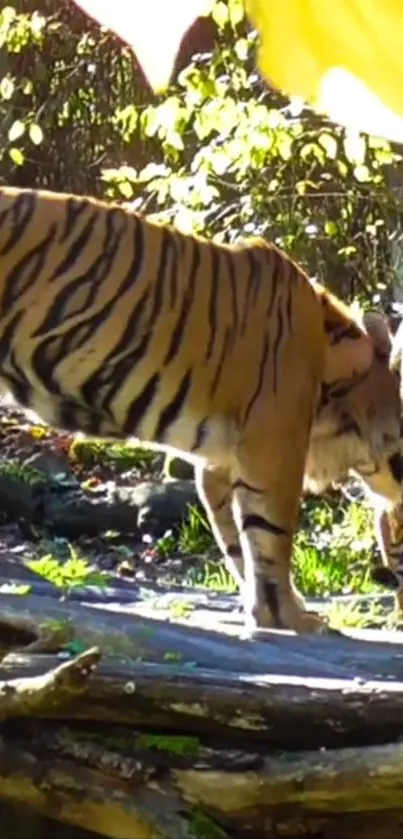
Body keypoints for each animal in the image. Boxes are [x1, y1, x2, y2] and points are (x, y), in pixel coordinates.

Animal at [0, 187, 403, 636]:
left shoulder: (219, 460)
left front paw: (266, 610)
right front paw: (291, 617)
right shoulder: (273, 449)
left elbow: (237, 540)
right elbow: (272, 535)